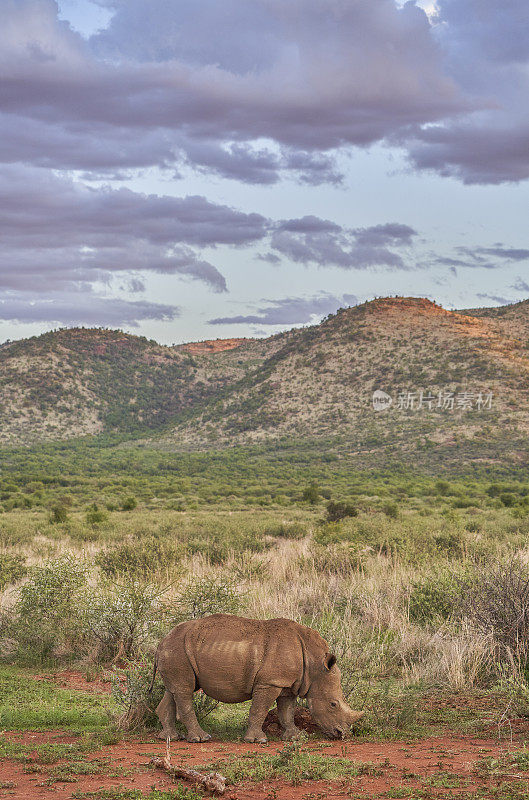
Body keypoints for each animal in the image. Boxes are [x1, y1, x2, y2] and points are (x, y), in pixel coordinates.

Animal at [151, 612, 360, 744]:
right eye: (333, 704)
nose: (343, 734)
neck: (315, 664)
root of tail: (161, 641)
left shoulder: (287, 684)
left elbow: (287, 712)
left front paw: (295, 737)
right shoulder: (269, 682)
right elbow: (259, 710)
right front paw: (257, 740)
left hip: (177, 651)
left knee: (174, 690)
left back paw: (170, 738)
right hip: (178, 650)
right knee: (184, 691)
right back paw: (200, 739)